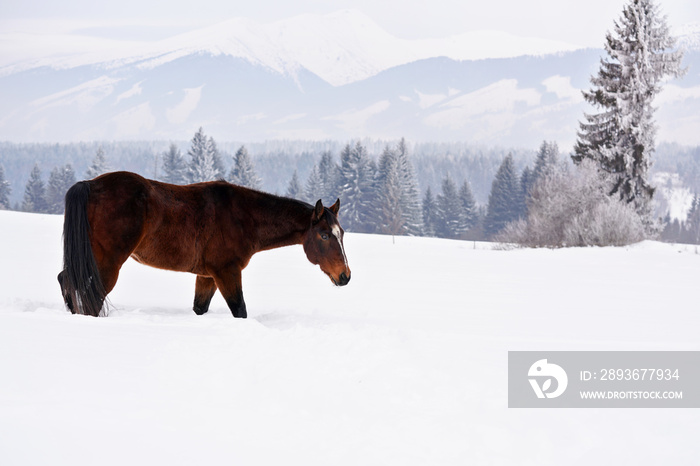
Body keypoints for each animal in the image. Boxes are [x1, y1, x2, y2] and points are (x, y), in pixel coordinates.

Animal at [56, 169, 350, 318]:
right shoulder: (226, 272)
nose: (345, 276)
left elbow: (200, 308)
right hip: (106, 265)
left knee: (66, 281)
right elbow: (240, 310)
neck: (244, 215)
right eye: (325, 235)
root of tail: (90, 184)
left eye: (342, 233)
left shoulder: (207, 276)